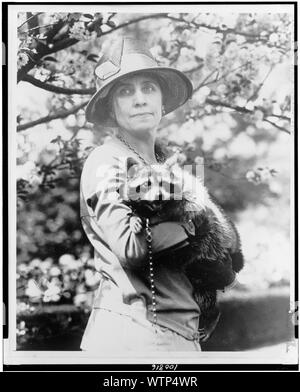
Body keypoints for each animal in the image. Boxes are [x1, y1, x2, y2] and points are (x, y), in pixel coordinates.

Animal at [119, 155, 244, 342]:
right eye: (147, 184)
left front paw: (153, 216)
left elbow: (185, 205)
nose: (159, 197)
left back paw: (213, 315)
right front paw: (135, 216)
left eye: (163, 183)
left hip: (215, 246)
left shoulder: (189, 196)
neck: (154, 208)